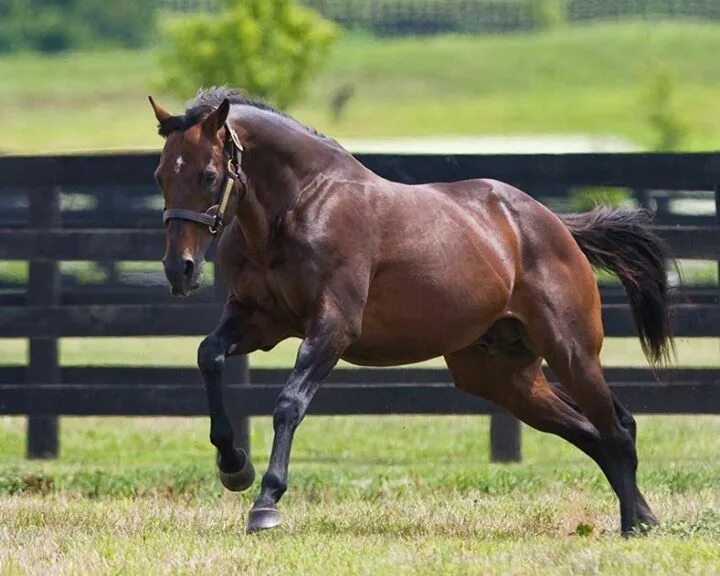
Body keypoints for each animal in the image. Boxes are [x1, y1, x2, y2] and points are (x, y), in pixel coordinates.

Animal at [149, 86, 672, 536]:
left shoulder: (332, 327)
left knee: (617, 429)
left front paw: (265, 503)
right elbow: (209, 355)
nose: (180, 269)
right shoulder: (260, 320)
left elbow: (289, 403)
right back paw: (642, 518)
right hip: (502, 376)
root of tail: (556, 225)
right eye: (160, 176)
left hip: (571, 352)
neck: (299, 207)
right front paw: (234, 466)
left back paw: (636, 524)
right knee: (591, 432)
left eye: (209, 175)